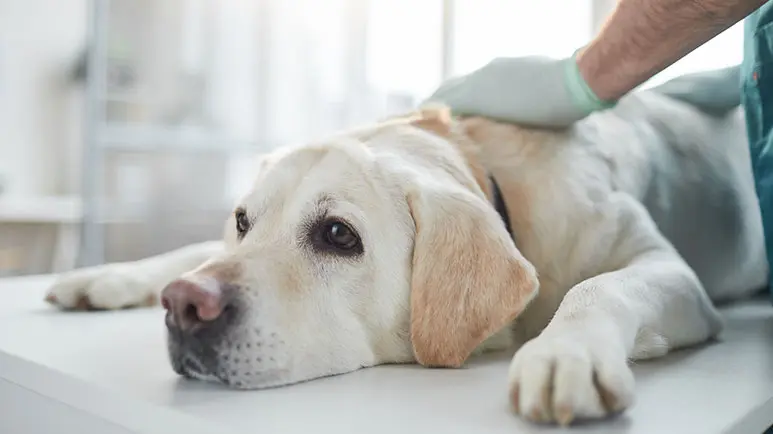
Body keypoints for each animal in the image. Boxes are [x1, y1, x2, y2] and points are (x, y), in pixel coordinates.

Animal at [43, 89, 764, 428]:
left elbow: (600, 287)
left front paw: (567, 353)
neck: (494, 171)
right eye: (244, 221)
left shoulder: (669, 271)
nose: (184, 306)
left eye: (338, 235)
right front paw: (105, 275)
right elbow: (194, 246)